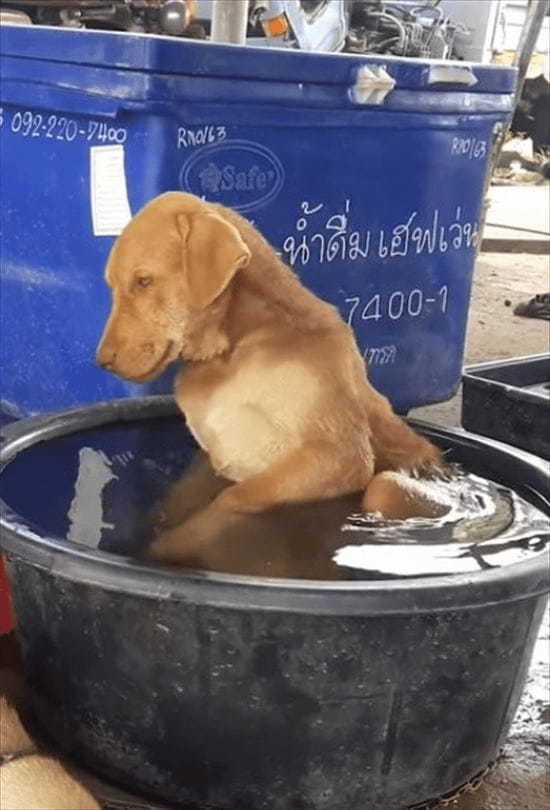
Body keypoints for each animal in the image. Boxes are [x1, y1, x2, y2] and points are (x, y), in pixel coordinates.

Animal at [97, 192, 446, 560]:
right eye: (113, 286)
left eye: (143, 281)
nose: (102, 361)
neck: (235, 349)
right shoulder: (213, 459)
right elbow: (176, 504)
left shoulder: (338, 457)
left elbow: (228, 501)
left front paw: (165, 548)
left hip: (387, 486)